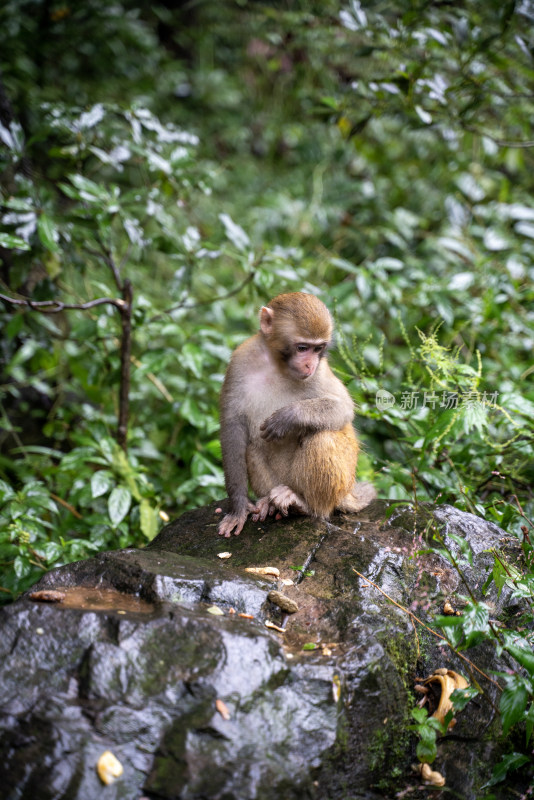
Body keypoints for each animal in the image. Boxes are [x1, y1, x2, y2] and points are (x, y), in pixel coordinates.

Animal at [218, 290, 376, 536]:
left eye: (318, 349)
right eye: (302, 348)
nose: (310, 365)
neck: (276, 364)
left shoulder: (320, 371)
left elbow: (343, 408)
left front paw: (289, 417)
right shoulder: (239, 361)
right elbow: (233, 427)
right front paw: (239, 507)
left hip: (336, 482)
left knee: (323, 437)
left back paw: (304, 505)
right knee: (251, 446)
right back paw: (268, 502)